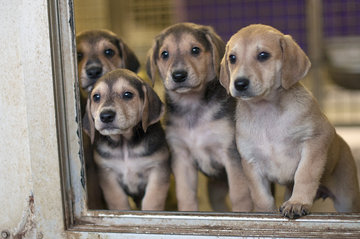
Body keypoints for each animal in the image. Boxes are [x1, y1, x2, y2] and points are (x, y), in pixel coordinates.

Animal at [83, 68, 170, 210]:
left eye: (127, 95)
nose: (106, 116)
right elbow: (118, 200)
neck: (124, 143)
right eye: (96, 97)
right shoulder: (107, 174)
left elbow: (152, 200)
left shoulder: (158, 169)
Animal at [146, 23, 253, 212]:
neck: (192, 107)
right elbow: (186, 195)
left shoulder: (230, 153)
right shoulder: (182, 158)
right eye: (164, 54)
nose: (178, 75)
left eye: (195, 50)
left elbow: (239, 194)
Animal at [219, 24, 360, 218]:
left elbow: (304, 175)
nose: (239, 83)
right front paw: (266, 213)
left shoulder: (314, 141)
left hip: (347, 199)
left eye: (263, 55)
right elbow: (261, 196)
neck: (267, 113)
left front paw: (297, 202)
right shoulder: (251, 162)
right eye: (232, 58)